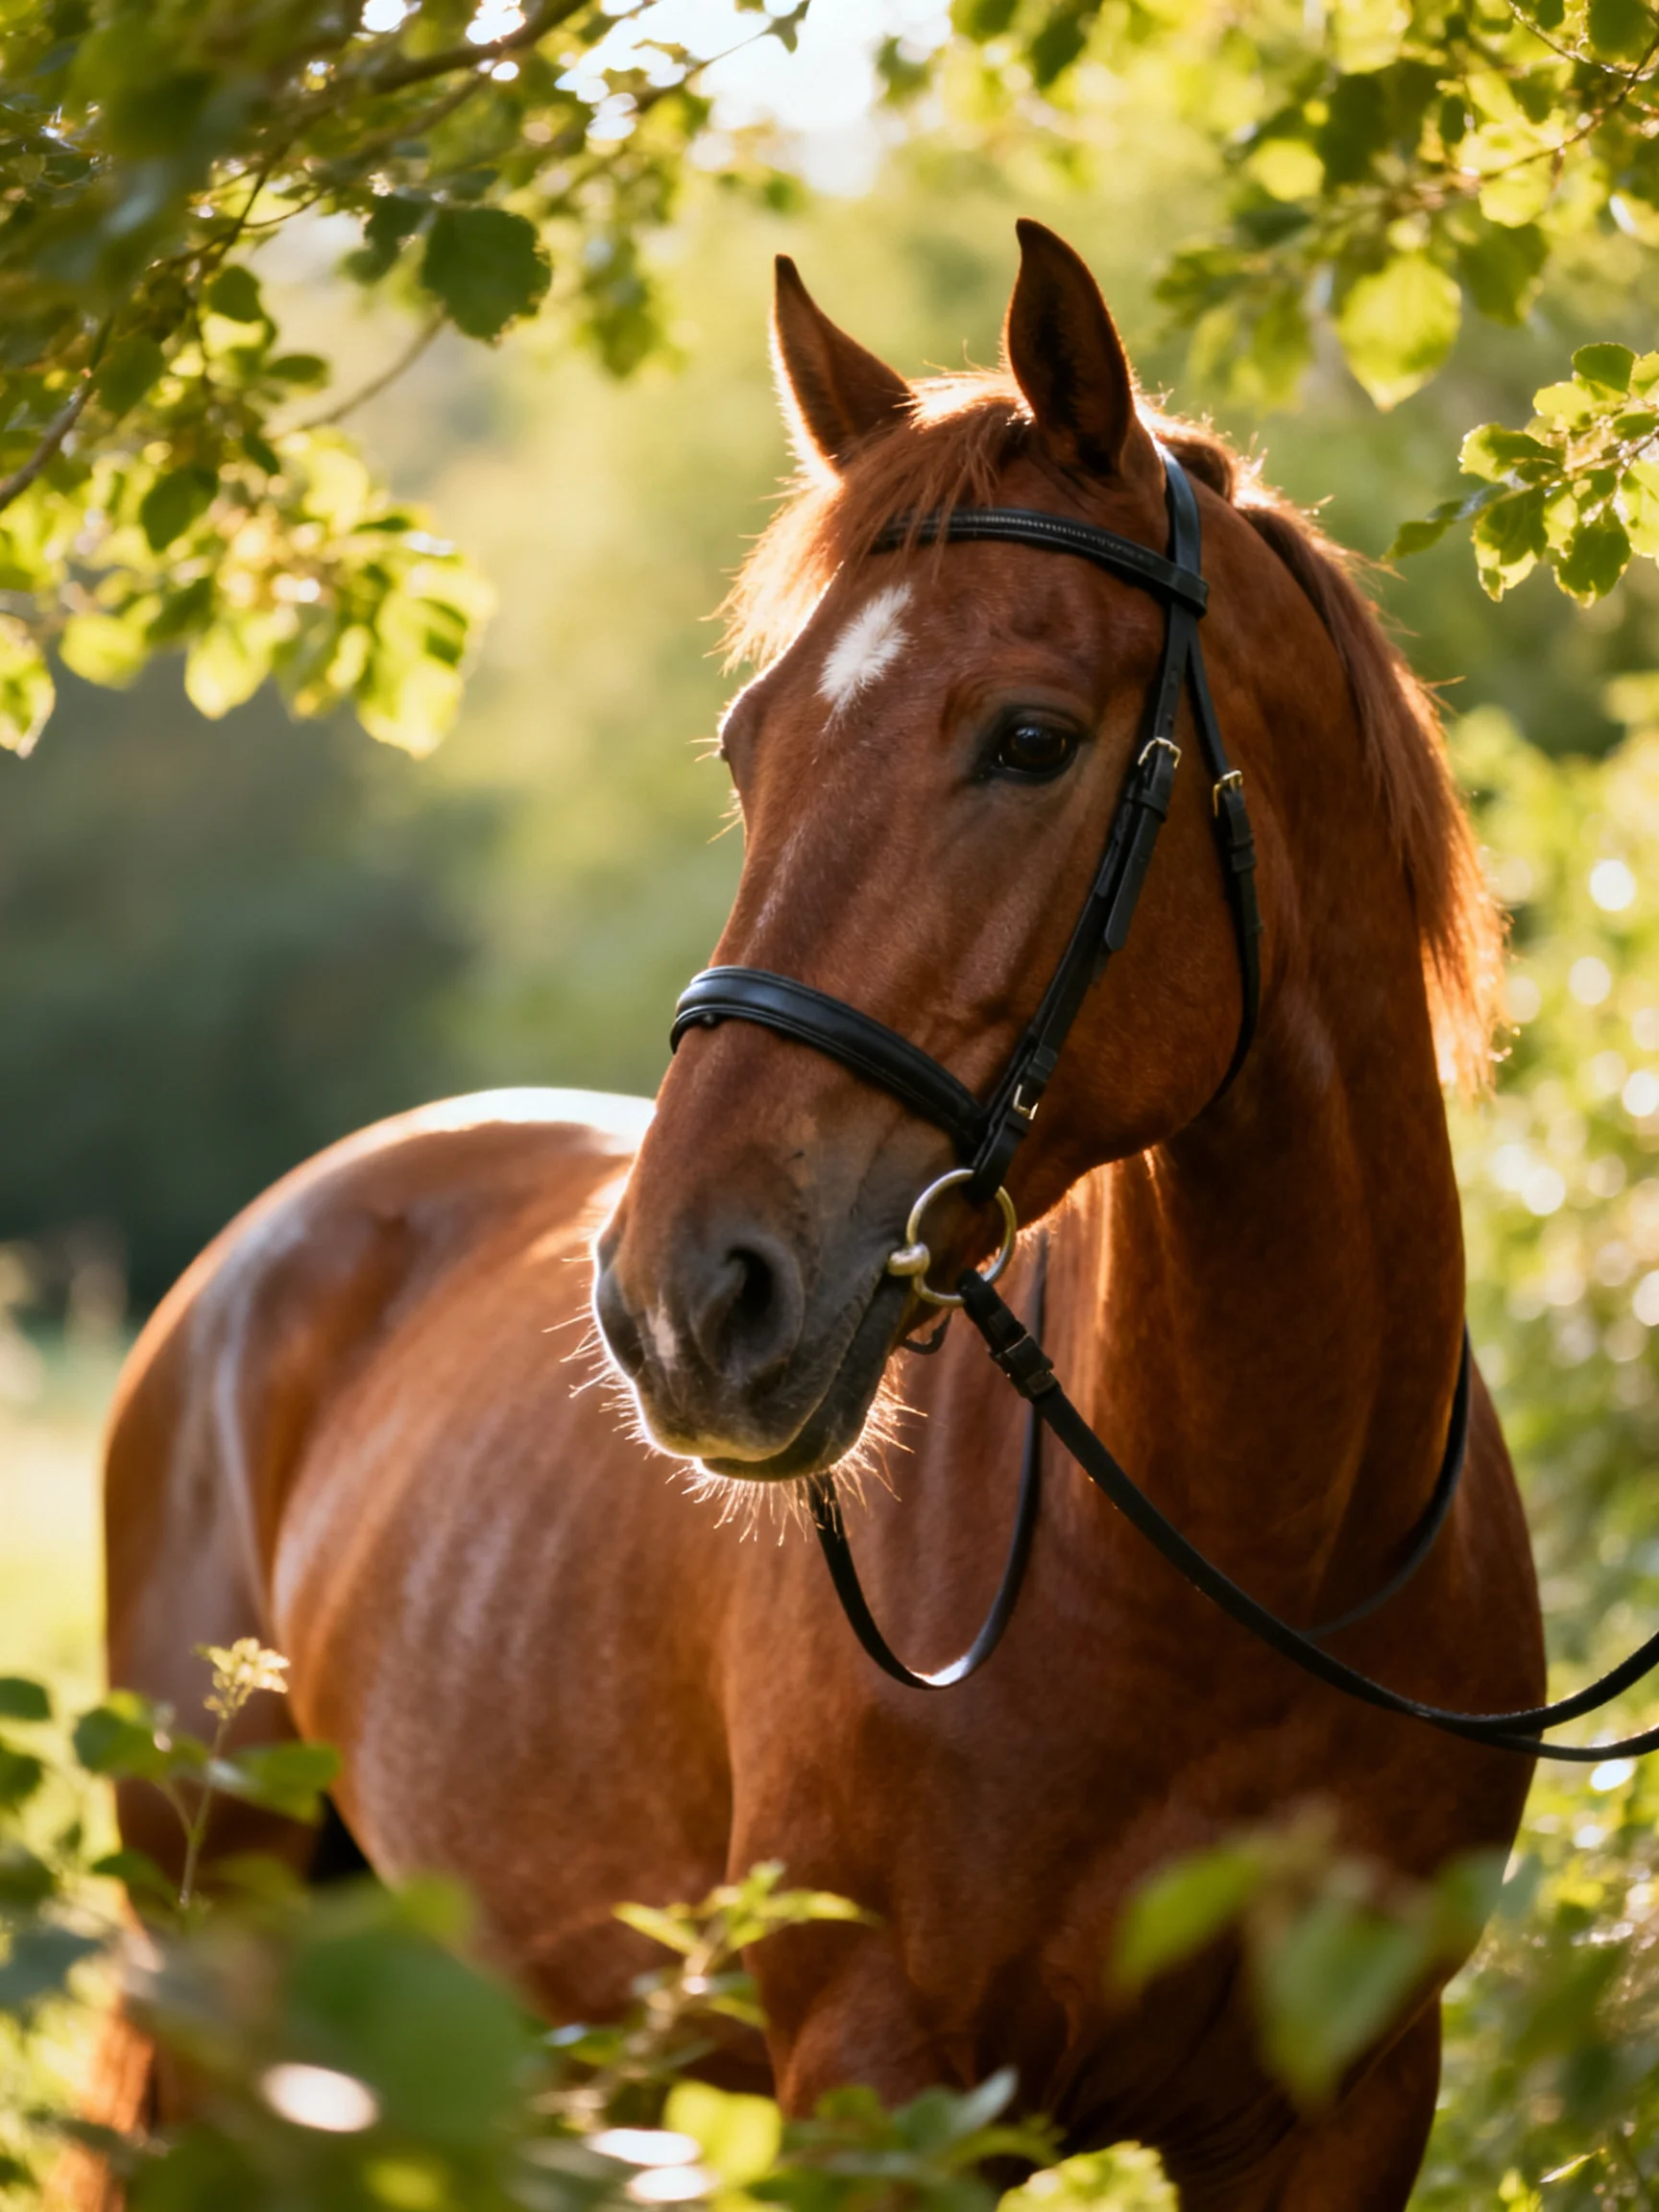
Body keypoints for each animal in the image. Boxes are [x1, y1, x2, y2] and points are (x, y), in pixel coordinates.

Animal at [101, 221, 1544, 2209]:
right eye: (746, 745)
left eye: (1030, 738)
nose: (676, 1306)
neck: (1260, 1561)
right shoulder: (880, 2087)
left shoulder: (1343, 2104)